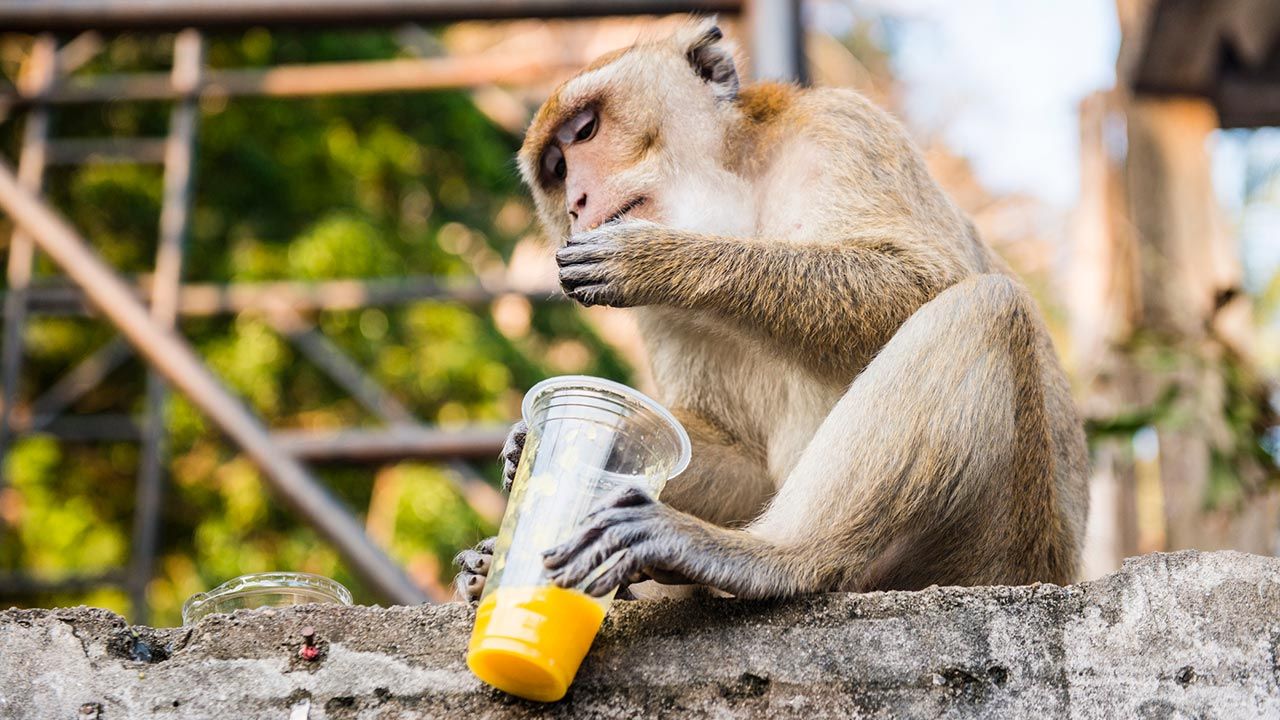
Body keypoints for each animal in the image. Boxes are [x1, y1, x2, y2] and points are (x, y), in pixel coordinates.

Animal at [455, 18, 1085, 599]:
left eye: (586, 130)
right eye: (556, 170)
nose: (578, 202)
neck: (740, 197)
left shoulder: (844, 128)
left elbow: (926, 278)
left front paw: (660, 258)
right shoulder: (657, 315)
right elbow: (745, 463)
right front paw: (533, 446)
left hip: (998, 553)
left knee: (984, 309)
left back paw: (773, 558)